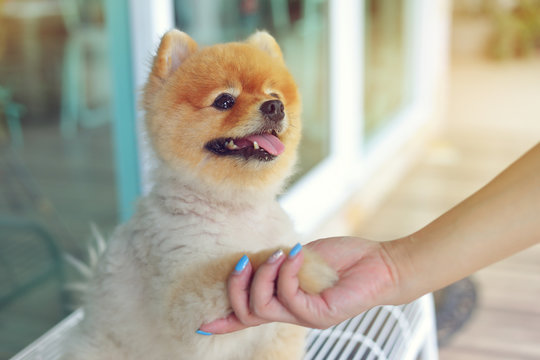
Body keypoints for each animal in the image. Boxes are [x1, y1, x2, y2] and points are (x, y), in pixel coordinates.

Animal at [65, 30, 338, 360]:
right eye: (224, 100)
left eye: (275, 94)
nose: (275, 106)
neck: (235, 207)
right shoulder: (187, 313)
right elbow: (240, 263)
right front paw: (308, 267)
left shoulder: (277, 333)